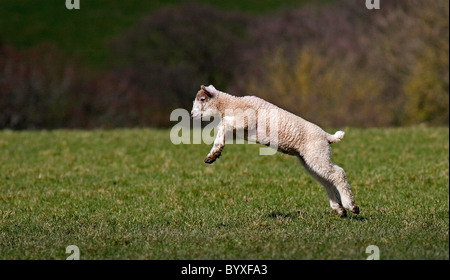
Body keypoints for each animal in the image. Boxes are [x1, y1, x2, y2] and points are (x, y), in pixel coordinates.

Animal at [190, 85, 358, 217]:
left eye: (202, 99)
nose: (192, 114)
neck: (231, 103)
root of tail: (327, 136)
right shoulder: (237, 130)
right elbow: (221, 133)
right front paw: (213, 155)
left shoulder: (245, 119)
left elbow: (223, 124)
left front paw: (214, 153)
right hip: (310, 158)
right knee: (326, 180)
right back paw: (340, 209)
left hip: (317, 153)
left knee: (337, 174)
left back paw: (351, 206)